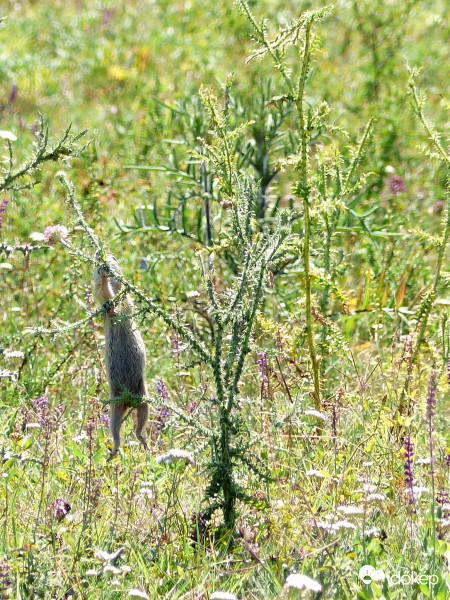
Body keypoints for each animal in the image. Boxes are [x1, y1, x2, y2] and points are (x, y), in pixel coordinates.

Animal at [93, 255, 149, 462]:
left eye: (114, 257)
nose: (102, 256)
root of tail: (128, 401)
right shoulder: (102, 297)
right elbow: (101, 293)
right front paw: (102, 276)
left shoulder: (125, 297)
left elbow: (123, 302)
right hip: (115, 409)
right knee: (116, 431)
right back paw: (114, 451)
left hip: (143, 398)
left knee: (140, 423)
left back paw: (141, 439)